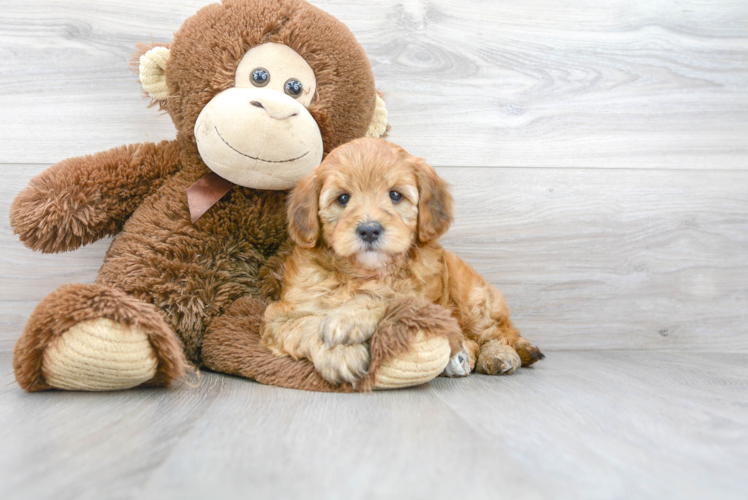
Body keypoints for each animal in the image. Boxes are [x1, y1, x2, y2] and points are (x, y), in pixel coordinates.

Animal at [262, 138, 544, 386]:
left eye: (395, 196)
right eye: (342, 199)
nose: (369, 230)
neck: (363, 273)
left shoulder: (422, 298)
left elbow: (388, 297)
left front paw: (349, 318)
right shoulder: (281, 315)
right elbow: (306, 324)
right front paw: (340, 354)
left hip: (475, 299)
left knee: (499, 333)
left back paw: (497, 354)